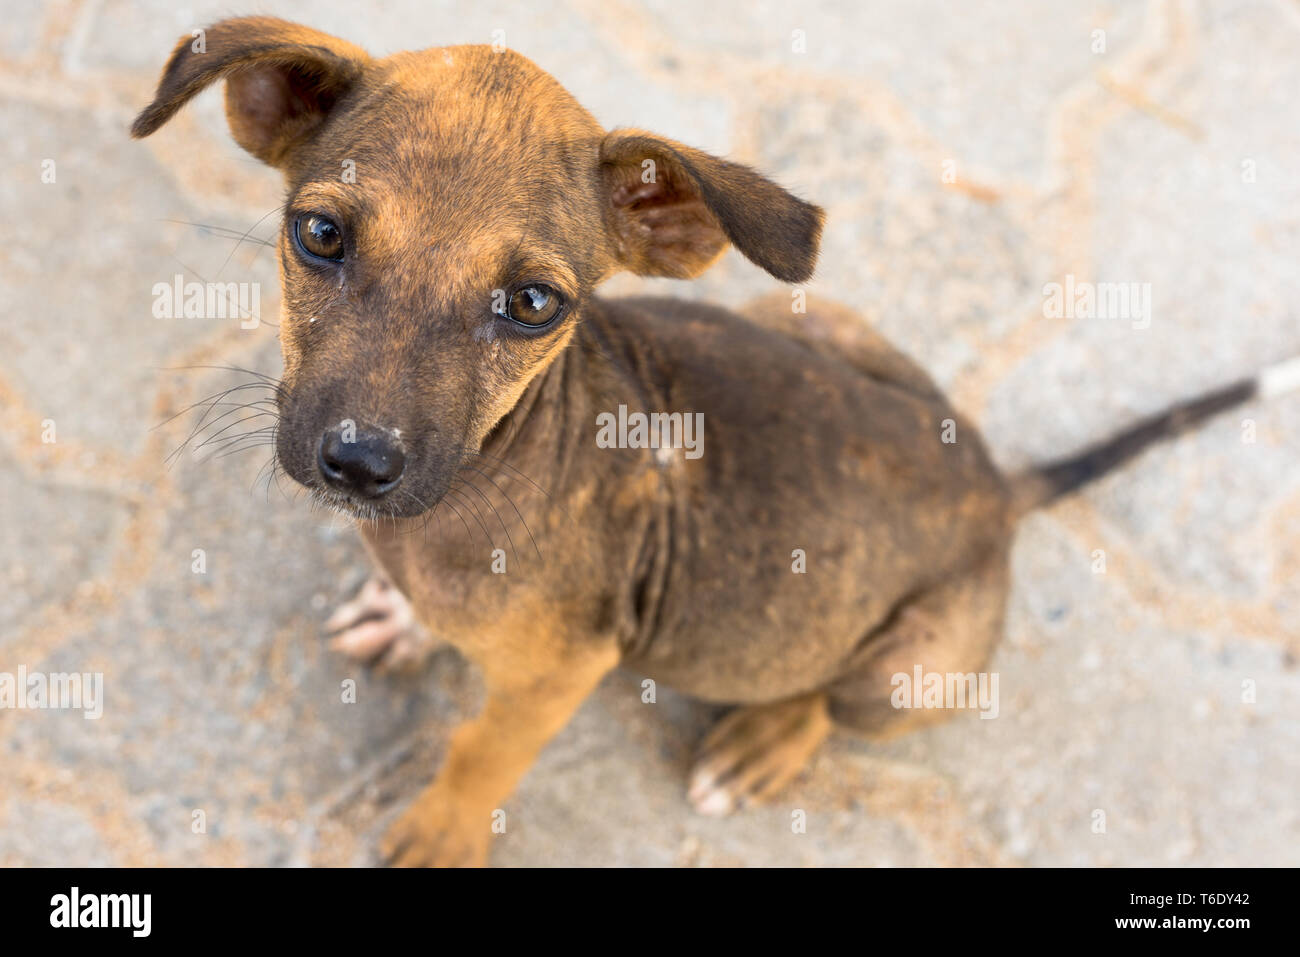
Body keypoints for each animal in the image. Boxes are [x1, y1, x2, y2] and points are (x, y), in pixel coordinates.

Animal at [131, 16, 1268, 868]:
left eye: (534, 304)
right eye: (319, 235)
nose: (358, 463)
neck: (496, 461)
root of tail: (994, 485)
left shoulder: (558, 672)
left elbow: (481, 753)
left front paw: (441, 834)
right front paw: (405, 616)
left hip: (908, 673)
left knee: (832, 704)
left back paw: (762, 742)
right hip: (810, 318)